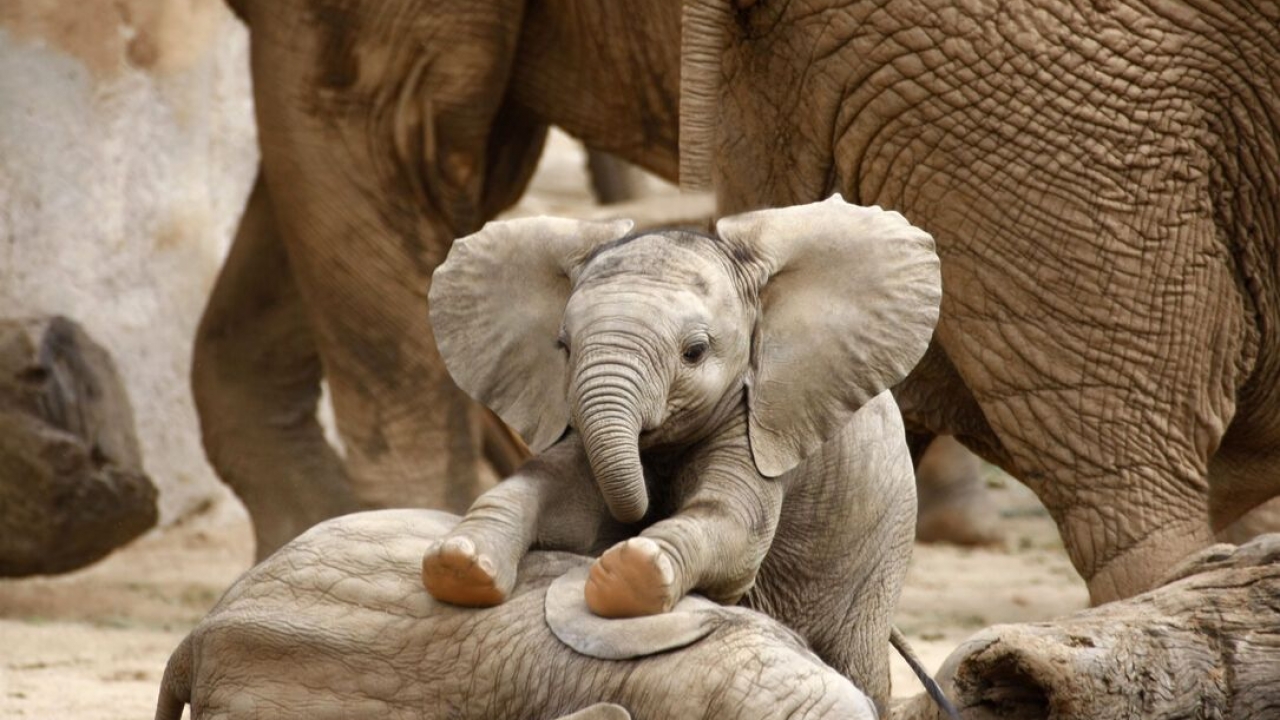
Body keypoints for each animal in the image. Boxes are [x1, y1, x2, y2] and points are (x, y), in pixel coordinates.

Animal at [420, 196, 940, 711]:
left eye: (695, 352)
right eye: (562, 347)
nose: (643, 511)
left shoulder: (761, 419)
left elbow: (733, 526)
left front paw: (628, 573)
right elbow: (557, 495)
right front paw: (457, 564)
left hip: (881, 551)